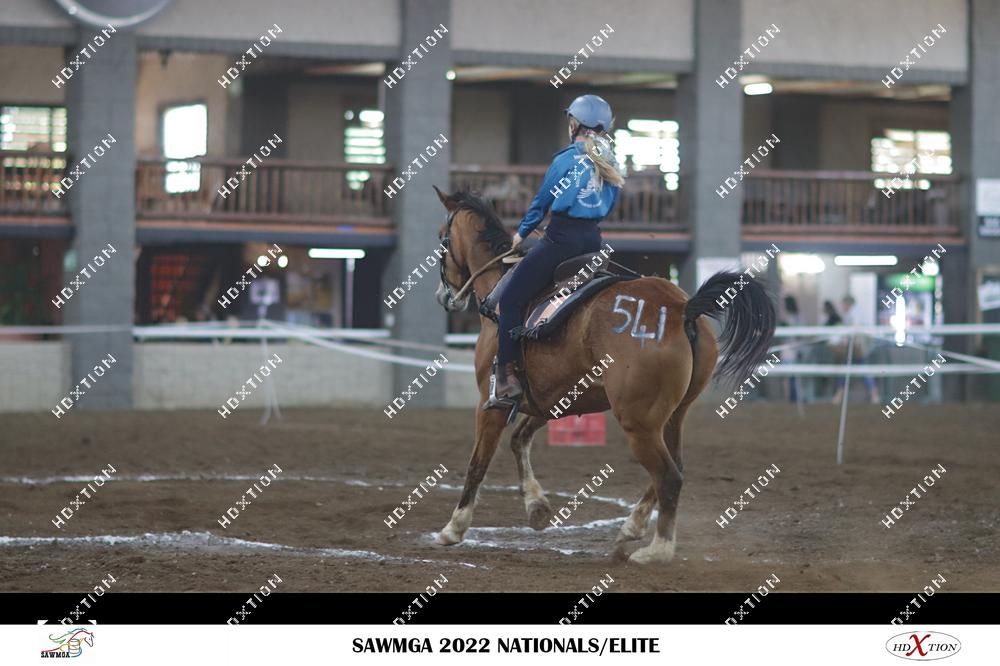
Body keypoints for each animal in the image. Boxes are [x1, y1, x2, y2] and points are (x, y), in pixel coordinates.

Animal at [432, 187, 776, 563]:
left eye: (442, 239)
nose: (444, 297)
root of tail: (683, 308)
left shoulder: (491, 403)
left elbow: (477, 463)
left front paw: (454, 527)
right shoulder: (551, 401)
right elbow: (519, 440)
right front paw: (536, 506)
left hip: (638, 423)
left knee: (669, 476)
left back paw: (657, 550)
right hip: (673, 416)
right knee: (674, 469)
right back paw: (632, 528)